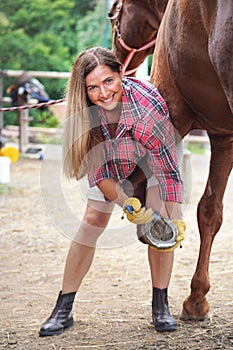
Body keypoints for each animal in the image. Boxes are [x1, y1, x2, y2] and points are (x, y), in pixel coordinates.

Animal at [109, 0, 233, 322]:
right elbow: (211, 211)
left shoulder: (171, 113)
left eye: (114, 15)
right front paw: (198, 298)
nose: (118, 61)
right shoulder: (225, 135)